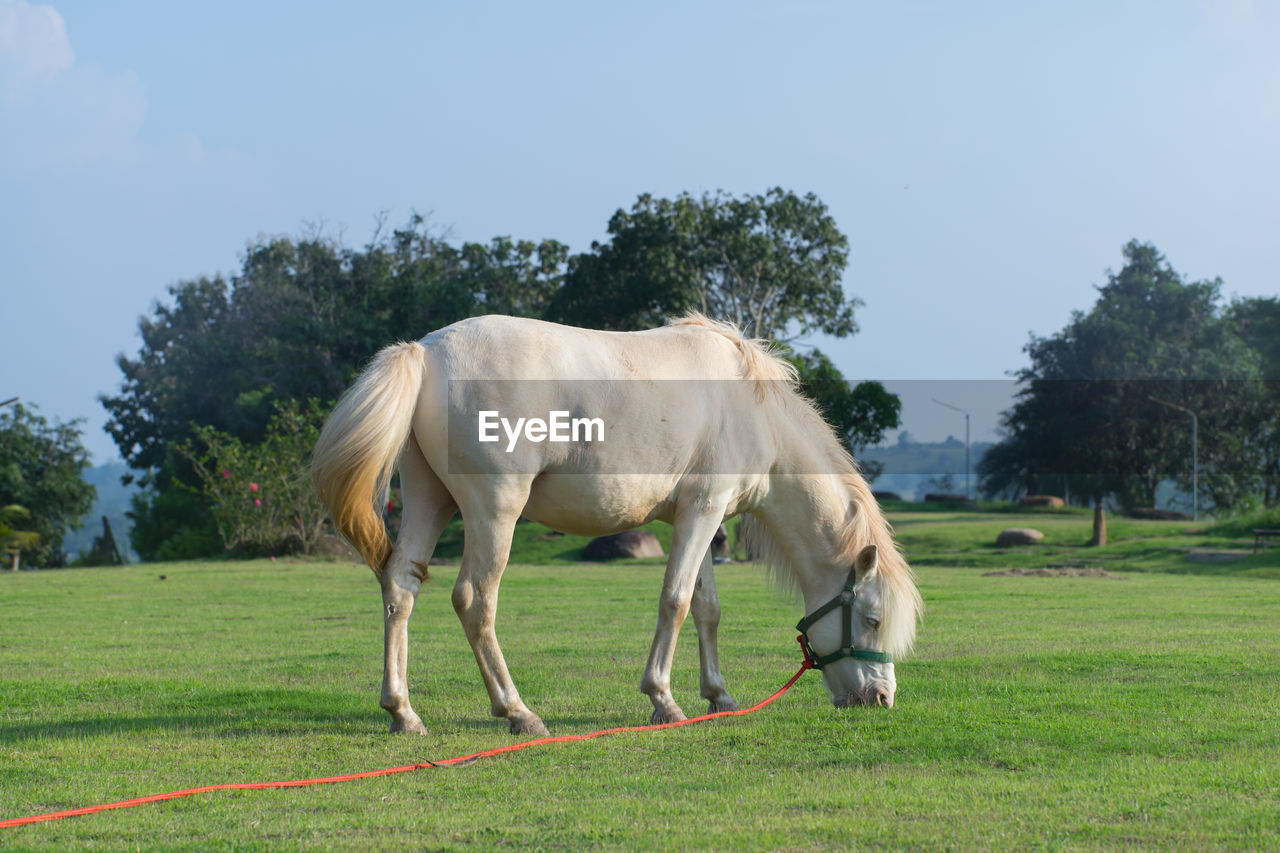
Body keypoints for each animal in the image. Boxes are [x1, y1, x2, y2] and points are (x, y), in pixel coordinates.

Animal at [314, 312, 926, 732]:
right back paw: (517, 712)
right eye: (872, 619)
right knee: (474, 601)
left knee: (400, 587)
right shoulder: (703, 512)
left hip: (430, 500)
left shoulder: (700, 518)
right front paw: (664, 699)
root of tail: (426, 352)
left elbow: (706, 608)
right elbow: (675, 601)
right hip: (494, 512)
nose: (881, 698)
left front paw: (718, 696)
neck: (753, 409)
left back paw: (403, 711)